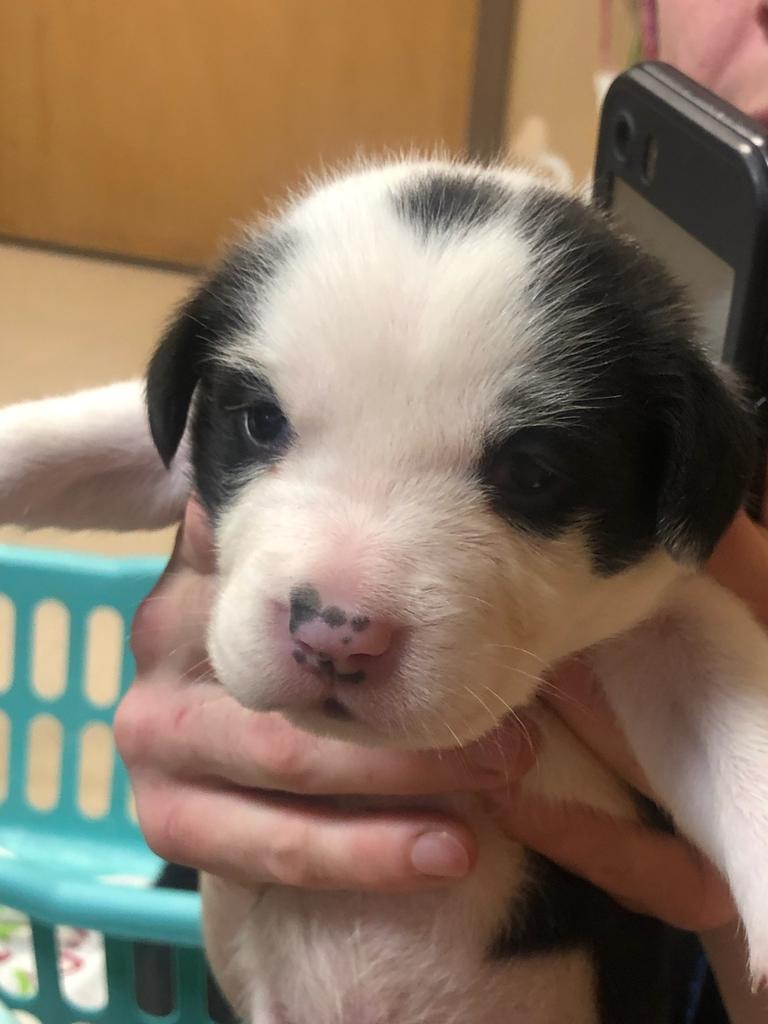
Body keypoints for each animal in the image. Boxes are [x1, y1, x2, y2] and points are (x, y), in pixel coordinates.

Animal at [1, 159, 768, 1024]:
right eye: (260, 422)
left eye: (532, 473)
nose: (334, 632)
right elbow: (92, 436)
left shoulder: (665, 609)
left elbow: (728, 708)